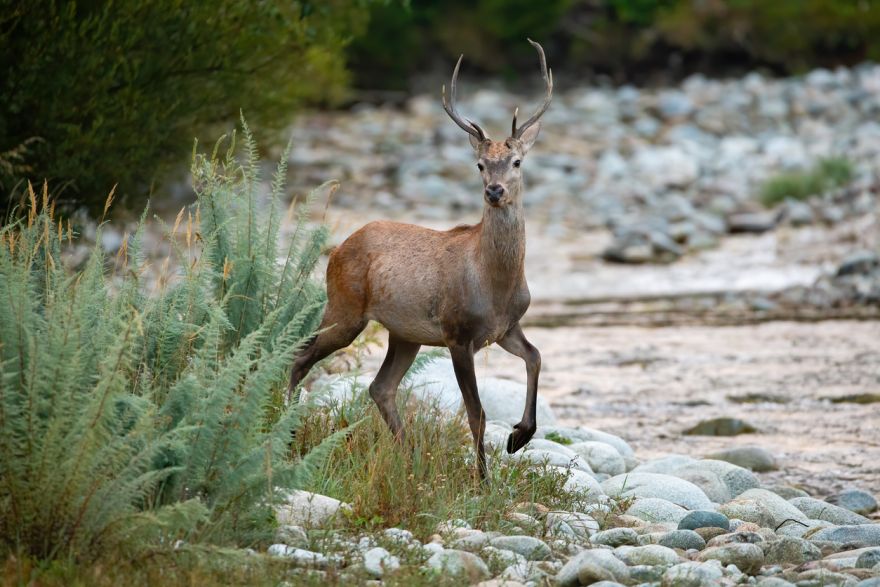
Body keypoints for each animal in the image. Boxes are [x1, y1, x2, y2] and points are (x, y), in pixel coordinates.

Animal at [288, 36, 552, 480]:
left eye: (517, 161)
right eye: (480, 164)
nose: (494, 191)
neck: (496, 285)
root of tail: (338, 247)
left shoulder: (505, 327)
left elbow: (535, 356)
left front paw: (519, 437)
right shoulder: (457, 332)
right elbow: (476, 412)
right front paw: (483, 479)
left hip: (404, 332)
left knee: (380, 386)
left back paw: (409, 458)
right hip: (345, 307)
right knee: (300, 355)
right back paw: (285, 435)